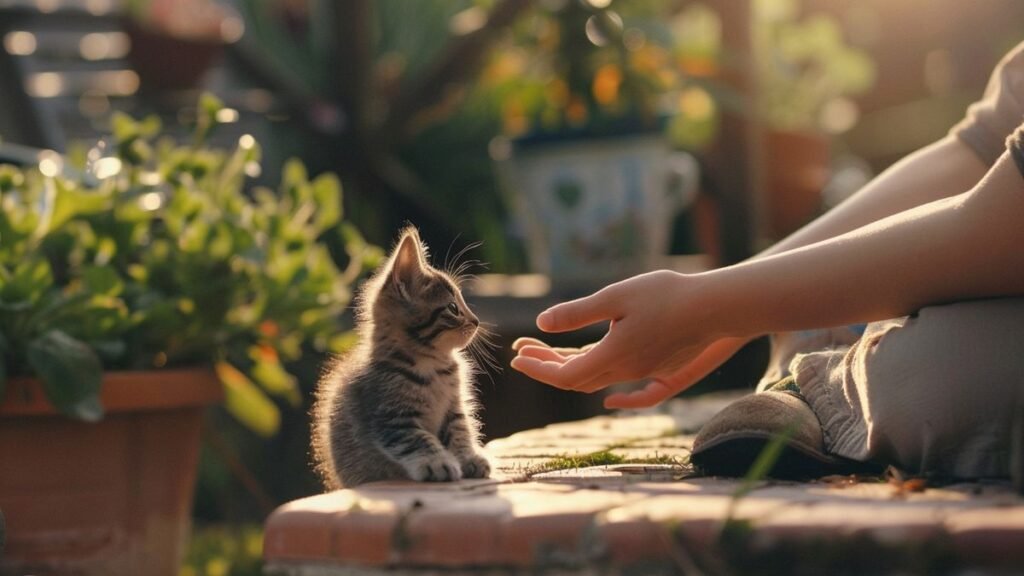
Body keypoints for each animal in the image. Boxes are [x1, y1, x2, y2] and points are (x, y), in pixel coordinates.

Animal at [309, 226, 489, 485]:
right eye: (453, 308)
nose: (475, 321)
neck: (434, 366)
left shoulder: (453, 409)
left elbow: (461, 431)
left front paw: (469, 458)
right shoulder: (393, 418)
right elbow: (417, 440)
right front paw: (438, 463)